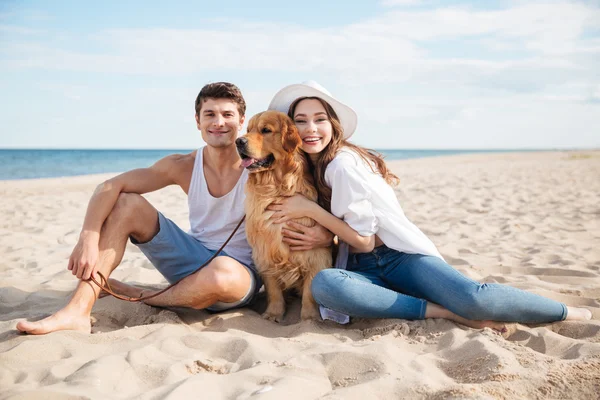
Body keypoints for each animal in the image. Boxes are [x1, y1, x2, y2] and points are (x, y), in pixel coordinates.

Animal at [236, 109, 332, 322]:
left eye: (265, 130)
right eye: (248, 130)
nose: (238, 141)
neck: (275, 189)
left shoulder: (316, 253)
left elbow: (310, 291)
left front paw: (309, 317)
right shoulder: (265, 251)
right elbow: (273, 289)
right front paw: (274, 313)